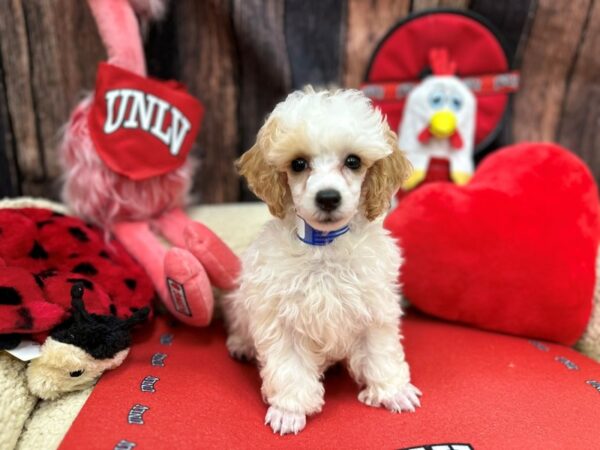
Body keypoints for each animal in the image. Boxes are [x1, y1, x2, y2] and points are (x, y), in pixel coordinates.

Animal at [221, 86, 422, 434]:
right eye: (299, 163)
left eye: (353, 161)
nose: (328, 197)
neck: (324, 244)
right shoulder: (280, 315)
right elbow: (289, 366)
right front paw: (289, 409)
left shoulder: (375, 306)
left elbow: (381, 350)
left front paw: (392, 390)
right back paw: (241, 344)